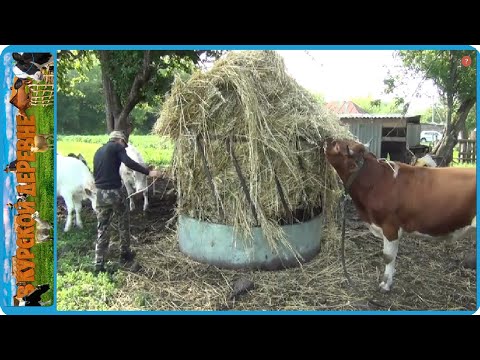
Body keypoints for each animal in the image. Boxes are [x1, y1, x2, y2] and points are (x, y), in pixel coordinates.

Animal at [322, 138, 476, 292]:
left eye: (337, 145)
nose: (326, 140)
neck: (376, 180)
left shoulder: (390, 226)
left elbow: (388, 256)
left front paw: (385, 284)